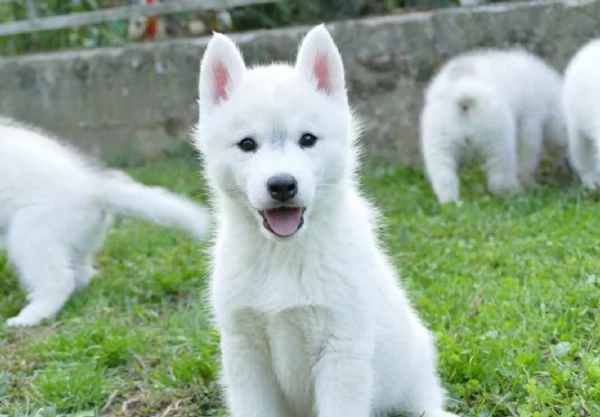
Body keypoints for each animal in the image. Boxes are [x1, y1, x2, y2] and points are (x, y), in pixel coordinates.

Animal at [0, 118, 212, 326]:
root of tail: (95, 189)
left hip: (31, 234)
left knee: (59, 280)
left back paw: (30, 317)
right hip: (70, 238)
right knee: (81, 274)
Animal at [197, 24, 460, 416]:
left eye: (308, 139)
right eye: (247, 144)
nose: (282, 185)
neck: (284, 256)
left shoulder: (343, 351)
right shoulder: (245, 350)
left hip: (415, 371)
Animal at [420, 48, 564, 203]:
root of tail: (463, 99)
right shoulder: (530, 120)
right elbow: (527, 156)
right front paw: (529, 184)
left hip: (439, 139)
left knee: (444, 176)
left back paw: (452, 203)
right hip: (496, 137)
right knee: (499, 176)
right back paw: (512, 194)